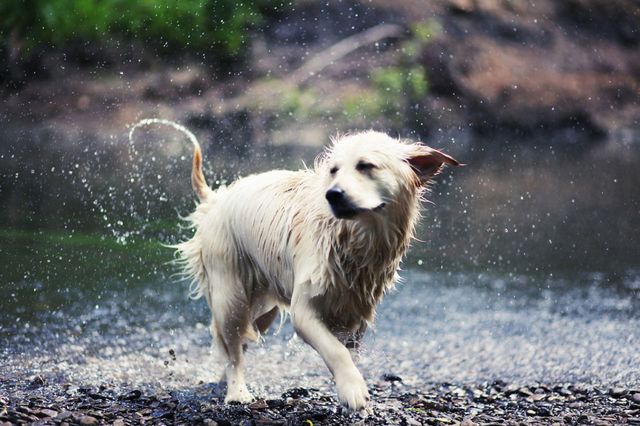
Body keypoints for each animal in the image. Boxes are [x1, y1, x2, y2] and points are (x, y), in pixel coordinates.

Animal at [131, 119, 460, 410]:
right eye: (334, 170)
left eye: (366, 166)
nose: (333, 194)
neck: (355, 237)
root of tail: (216, 200)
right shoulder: (305, 310)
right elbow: (335, 352)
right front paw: (353, 391)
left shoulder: (357, 311)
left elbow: (348, 350)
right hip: (230, 292)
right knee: (233, 347)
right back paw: (236, 391)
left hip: (264, 309)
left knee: (237, 341)